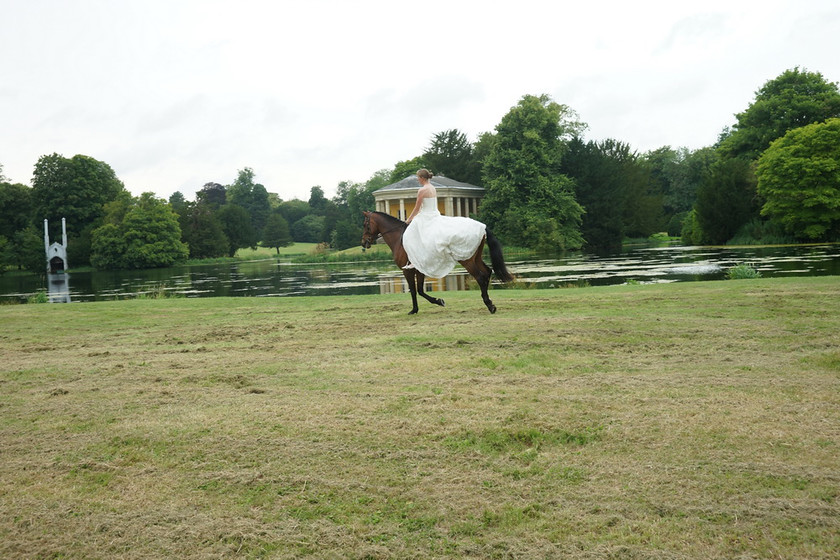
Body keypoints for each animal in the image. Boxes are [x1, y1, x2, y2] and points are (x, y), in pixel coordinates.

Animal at [360, 211, 512, 316]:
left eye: (365, 225)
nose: (363, 243)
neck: (398, 238)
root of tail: (481, 227)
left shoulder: (407, 270)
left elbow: (414, 291)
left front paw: (416, 309)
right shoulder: (419, 270)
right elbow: (420, 290)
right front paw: (436, 302)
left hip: (467, 260)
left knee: (480, 277)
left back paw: (489, 305)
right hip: (475, 257)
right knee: (487, 273)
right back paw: (490, 302)